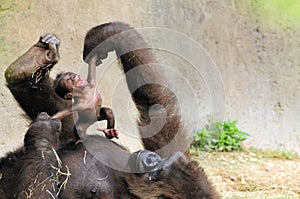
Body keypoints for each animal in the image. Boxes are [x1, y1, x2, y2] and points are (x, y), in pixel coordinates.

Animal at [3, 22, 219, 199]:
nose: (152, 160)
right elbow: (158, 114)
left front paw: (42, 137)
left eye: (156, 176)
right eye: (160, 166)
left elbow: (38, 194)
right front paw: (111, 34)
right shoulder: (166, 150)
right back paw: (30, 65)